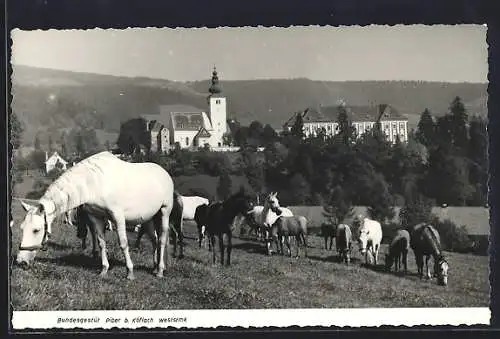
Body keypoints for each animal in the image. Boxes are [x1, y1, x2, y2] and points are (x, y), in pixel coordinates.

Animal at [15, 153, 177, 280]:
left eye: (36, 230)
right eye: (22, 228)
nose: (20, 261)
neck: (94, 182)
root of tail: (164, 173)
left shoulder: (118, 217)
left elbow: (123, 243)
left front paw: (129, 272)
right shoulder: (96, 218)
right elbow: (101, 243)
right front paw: (104, 270)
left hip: (164, 212)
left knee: (162, 239)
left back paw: (160, 270)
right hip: (148, 219)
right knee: (154, 240)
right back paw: (155, 267)